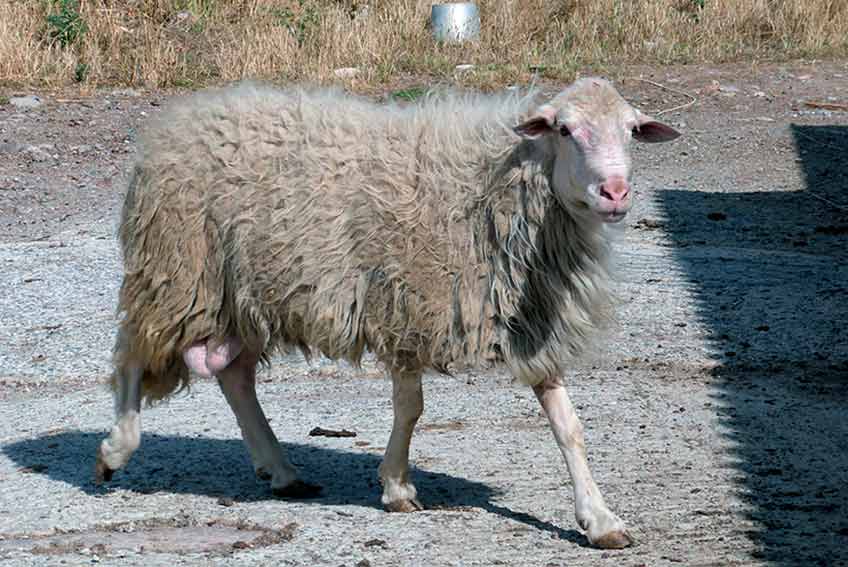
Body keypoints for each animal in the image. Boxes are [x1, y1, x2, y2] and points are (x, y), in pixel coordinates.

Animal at [97, 77, 684, 548]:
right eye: (564, 130)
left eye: (632, 130)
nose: (615, 192)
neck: (493, 190)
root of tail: (182, 115)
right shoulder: (404, 308)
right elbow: (411, 409)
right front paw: (397, 487)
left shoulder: (529, 321)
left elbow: (569, 427)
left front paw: (600, 520)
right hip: (176, 274)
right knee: (131, 357)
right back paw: (115, 451)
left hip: (240, 295)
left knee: (234, 376)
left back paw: (282, 470)